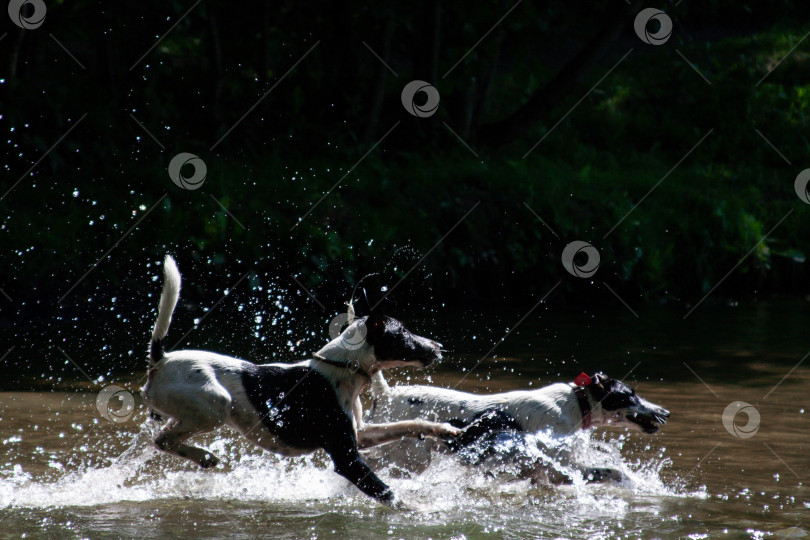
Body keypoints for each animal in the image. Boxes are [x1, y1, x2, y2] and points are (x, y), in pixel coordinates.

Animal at [143, 255, 464, 504]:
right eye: (404, 332)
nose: (438, 346)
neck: (345, 370)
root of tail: (161, 359)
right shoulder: (347, 459)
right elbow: (388, 493)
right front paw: (421, 511)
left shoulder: (361, 434)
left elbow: (410, 424)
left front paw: (445, 429)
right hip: (216, 406)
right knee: (161, 439)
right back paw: (202, 455)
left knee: (164, 438)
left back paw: (204, 457)